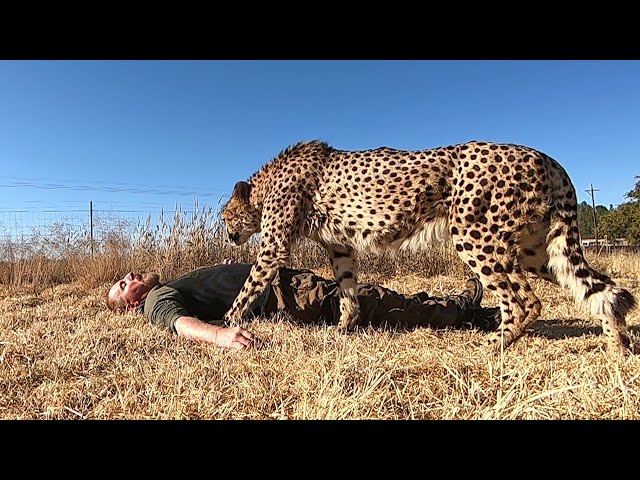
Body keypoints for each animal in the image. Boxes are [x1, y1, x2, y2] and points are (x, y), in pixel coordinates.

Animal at [220, 139, 636, 352]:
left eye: (226, 217)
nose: (227, 234)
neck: (265, 184)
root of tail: (545, 156)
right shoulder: (341, 248)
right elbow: (348, 290)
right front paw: (343, 329)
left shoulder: (275, 246)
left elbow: (249, 286)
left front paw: (227, 323)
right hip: (536, 250)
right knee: (599, 289)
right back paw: (618, 346)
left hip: (475, 235)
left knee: (524, 300)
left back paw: (492, 345)